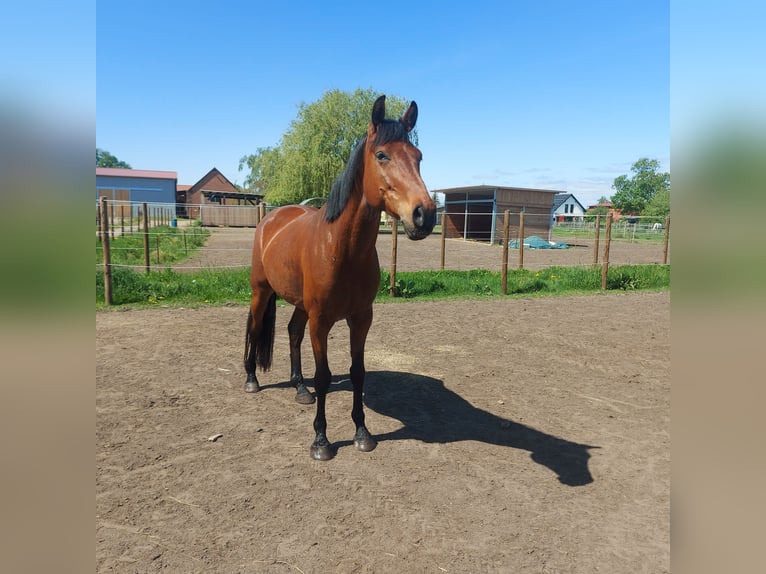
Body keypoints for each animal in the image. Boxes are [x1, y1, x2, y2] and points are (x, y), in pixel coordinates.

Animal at [244, 95, 436, 460]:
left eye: (418, 157)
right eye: (382, 155)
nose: (425, 215)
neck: (341, 249)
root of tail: (273, 217)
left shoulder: (361, 318)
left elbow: (357, 373)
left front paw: (362, 432)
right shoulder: (321, 320)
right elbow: (324, 376)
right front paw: (321, 440)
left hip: (300, 304)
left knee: (292, 333)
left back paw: (299, 387)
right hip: (261, 292)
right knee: (254, 327)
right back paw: (251, 379)